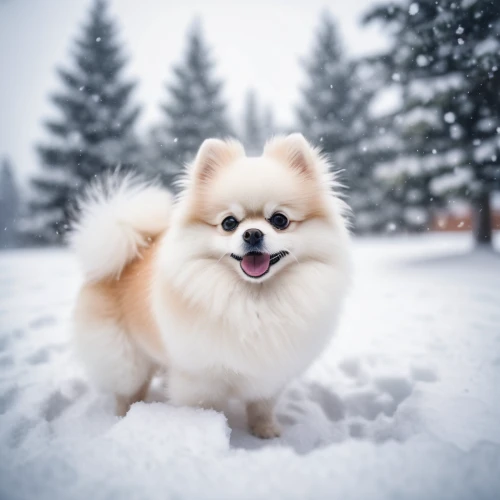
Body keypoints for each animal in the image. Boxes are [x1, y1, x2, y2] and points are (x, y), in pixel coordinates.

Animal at [71, 133, 352, 438]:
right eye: (229, 223)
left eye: (279, 220)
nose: (252, 233)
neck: (255, 298)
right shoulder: (200, 378)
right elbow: (204, 411)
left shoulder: (270, 372)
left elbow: (262, 406)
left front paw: (266, 432)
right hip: (125, 359)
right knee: (128, 391)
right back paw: (123, 418)